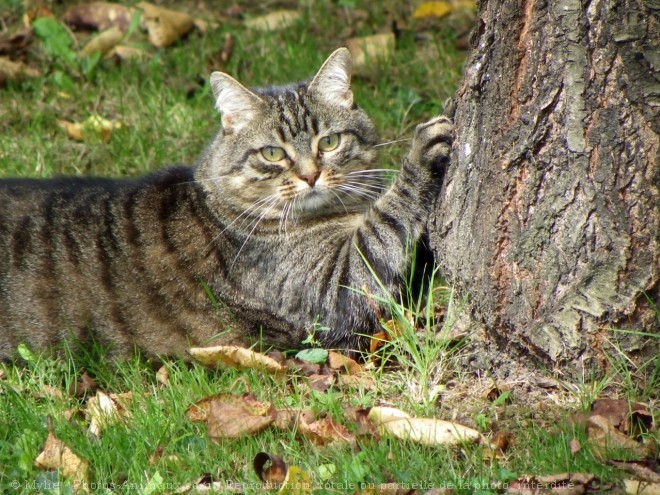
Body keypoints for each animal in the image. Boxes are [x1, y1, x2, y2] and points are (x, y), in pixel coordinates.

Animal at [0, 49, 454, 360]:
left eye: (328, 142)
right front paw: (421, 153)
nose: (310, 176)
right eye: (272, 153)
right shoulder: (333, 290)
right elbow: (384, 224)